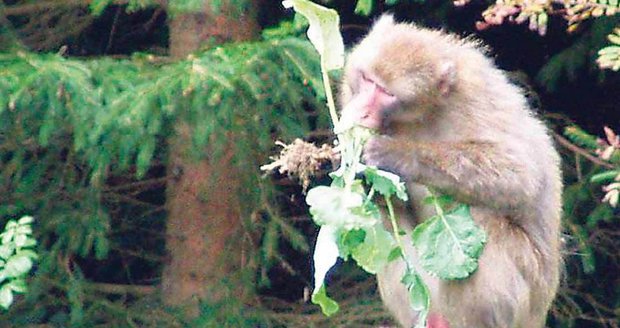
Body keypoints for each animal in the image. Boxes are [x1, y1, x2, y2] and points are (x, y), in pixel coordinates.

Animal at [340, 14, 560, 328]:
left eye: (386, 93)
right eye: (367, 80)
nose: (361, 111)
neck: (418, 116)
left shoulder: (475, 97)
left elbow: (520, 173)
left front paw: (394, 155)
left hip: (525, 292)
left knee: (484, 219)